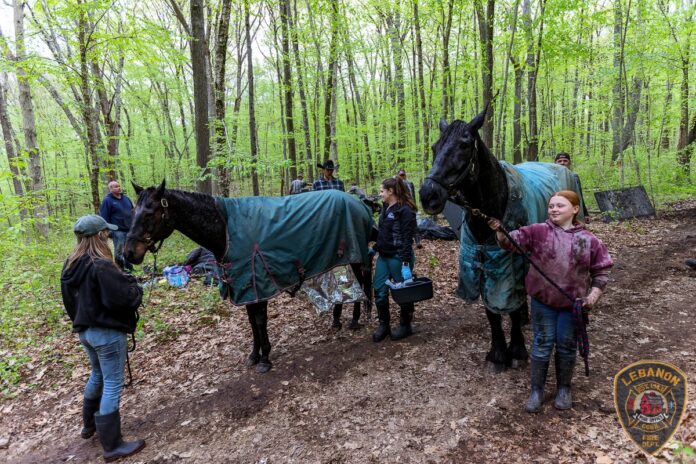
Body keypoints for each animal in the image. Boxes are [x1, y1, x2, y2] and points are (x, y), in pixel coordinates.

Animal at [124, 181, 374, 373]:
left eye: (149, 213)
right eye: (132, 213)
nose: (128, 253)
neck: (226, 230)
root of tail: (359, 203)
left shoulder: (257, 285)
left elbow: (260, 321)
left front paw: (265, 359)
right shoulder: (243, 287)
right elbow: (252, 322)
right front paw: (254, 355)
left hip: (356, 257)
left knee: (362, 284)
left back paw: (355, 320)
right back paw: (341, 320)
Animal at [419, 108, 585, 373]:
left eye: (464, 145)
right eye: (435, 146)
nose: (428, 196)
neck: (489, 214)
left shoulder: (511, 263)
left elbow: (512, 308)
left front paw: (516, 350)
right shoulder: (483, 262)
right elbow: (492, 312)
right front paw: (497, 352)